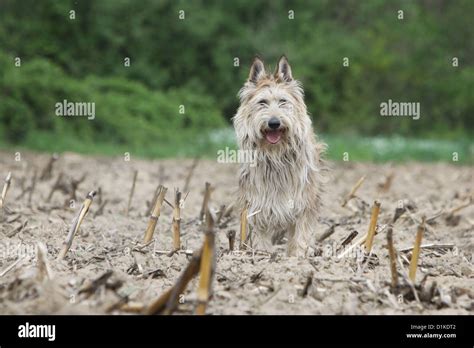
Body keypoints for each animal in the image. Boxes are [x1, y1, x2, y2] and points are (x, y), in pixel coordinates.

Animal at [232, 54, 326, 256]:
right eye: (262, 102)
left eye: (283, 101)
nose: (274, 123)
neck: (275, 154)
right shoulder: (257, 203)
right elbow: (260, 235)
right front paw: (262, 255)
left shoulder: (303, 202)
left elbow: (300, 236)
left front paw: (297, 257)